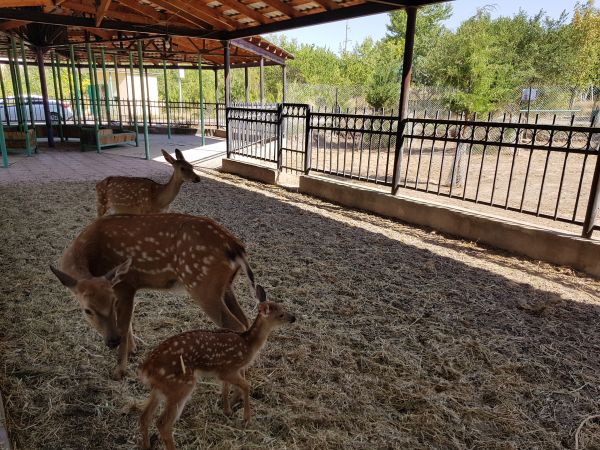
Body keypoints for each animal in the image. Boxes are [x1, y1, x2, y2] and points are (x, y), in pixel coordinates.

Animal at [48, 214, 258, 380]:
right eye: (87, 310)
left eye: (112, 303)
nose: (112, 341)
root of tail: (236, 247)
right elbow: (128, 322)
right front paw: (133, 349)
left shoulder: (125, 285)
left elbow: (124, 324)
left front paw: (119, 371)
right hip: (225, 287)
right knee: (246, 321)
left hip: (202, 285)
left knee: (237, 326)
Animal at [137, 288, 296, 450]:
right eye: (280, 314)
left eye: (283, 307)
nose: (293, 318)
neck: (248, 344)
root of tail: (146, 368)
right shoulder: (229, 369)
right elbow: (246, 385)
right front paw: (246, 417)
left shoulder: (224, 372)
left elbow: (226, 389)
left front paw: (228, 410)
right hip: (181, 385)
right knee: (162, 423)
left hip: (160, 388)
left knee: (144, 416)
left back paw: (146, 445)